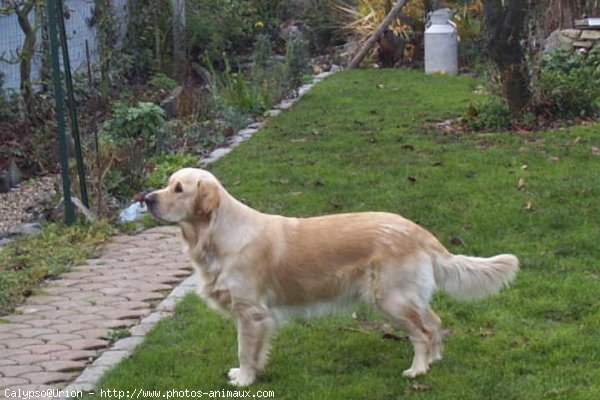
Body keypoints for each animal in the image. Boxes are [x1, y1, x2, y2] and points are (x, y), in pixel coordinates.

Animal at [144, 168, 516, 388]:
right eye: (167, 184)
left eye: (178, 189)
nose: (145, 198)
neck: (216, 234)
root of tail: (419, 230)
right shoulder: (259, 315)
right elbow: (256, 350)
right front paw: (253, 373)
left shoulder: (250, 311)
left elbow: (244, 349)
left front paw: (244, 379)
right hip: (406, 296)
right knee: (435, 321)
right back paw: (435, 359)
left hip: (390, 298)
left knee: (422, 332)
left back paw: (418, 370)